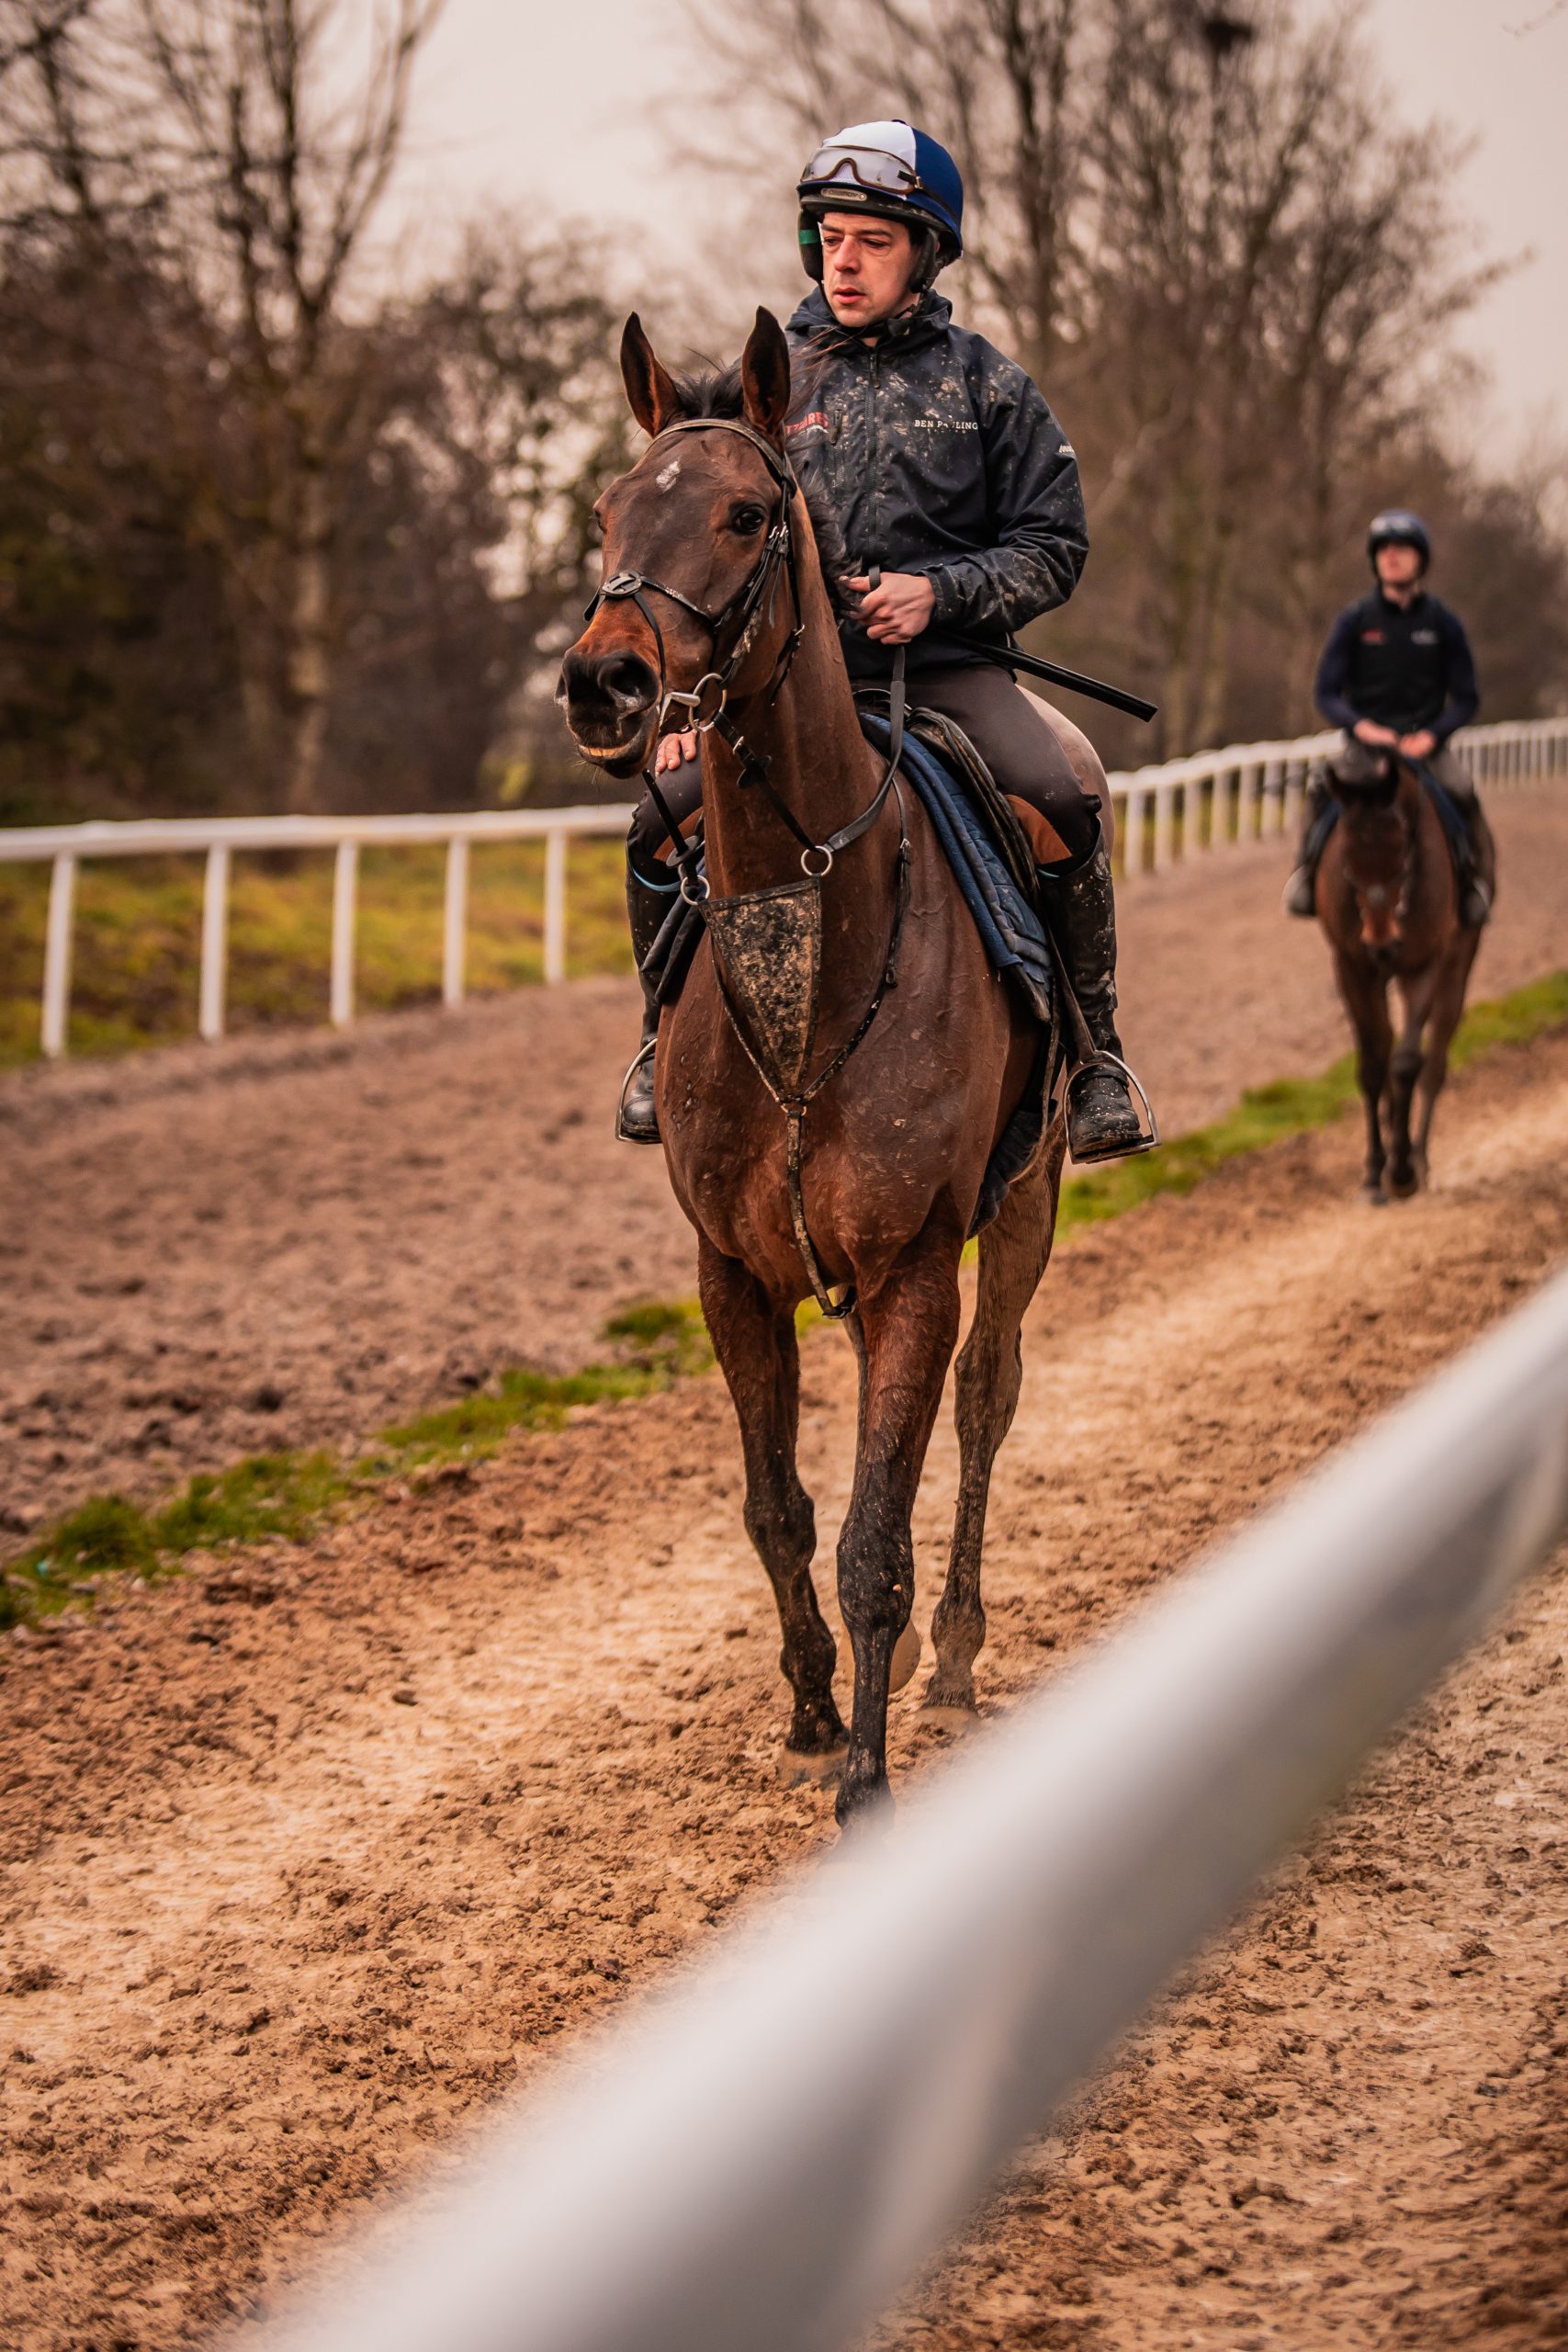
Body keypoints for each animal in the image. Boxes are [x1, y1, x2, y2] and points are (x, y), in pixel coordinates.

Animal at [558, 307, 1106, 1825]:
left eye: (746, 514)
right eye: (606, 510)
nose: (603, 682)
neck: (805, 950)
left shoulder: (916, 1265)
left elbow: (874, 1533)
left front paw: (864, 1775)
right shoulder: (732, 1277)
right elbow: (780, 1509)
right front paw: (809, 1707)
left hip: (1028, 1197)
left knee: (984, 1404)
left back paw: (954, 1653)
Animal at [1315, 752, 1493, 1202]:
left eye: (1404, 851)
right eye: (1346, 859)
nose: (1382, 942)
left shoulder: (1423, 965)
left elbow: (1407, 1062)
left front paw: (1402, 1171)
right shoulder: (1352, 967)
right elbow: (1374, 1062)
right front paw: (1374, 1172)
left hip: (1457, 965)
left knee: (1435, 1061)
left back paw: (1420, 1157)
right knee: (1387, 1046)